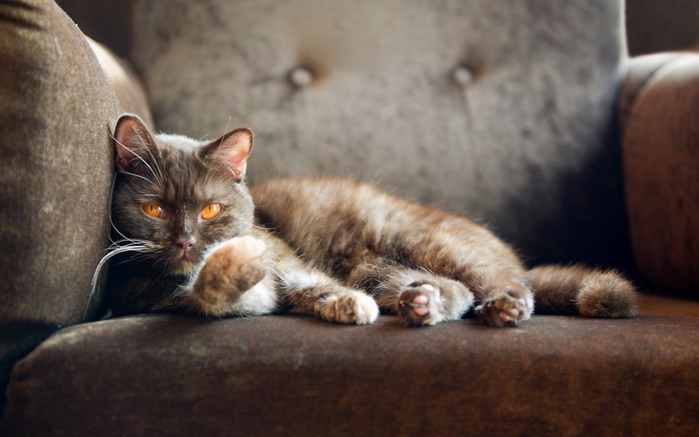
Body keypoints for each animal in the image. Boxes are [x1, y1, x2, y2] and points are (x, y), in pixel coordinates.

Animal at [104, 114, 640, 326]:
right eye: (154, 209)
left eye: (211, 210)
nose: (185, 240)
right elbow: (220, 294)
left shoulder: (286, 260)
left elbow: (309, 281)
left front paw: (348, 305)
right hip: (380, 267)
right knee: (454, 291)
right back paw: (421, 304)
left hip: (420, 242)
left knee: (501, 282)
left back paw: (502, 307)